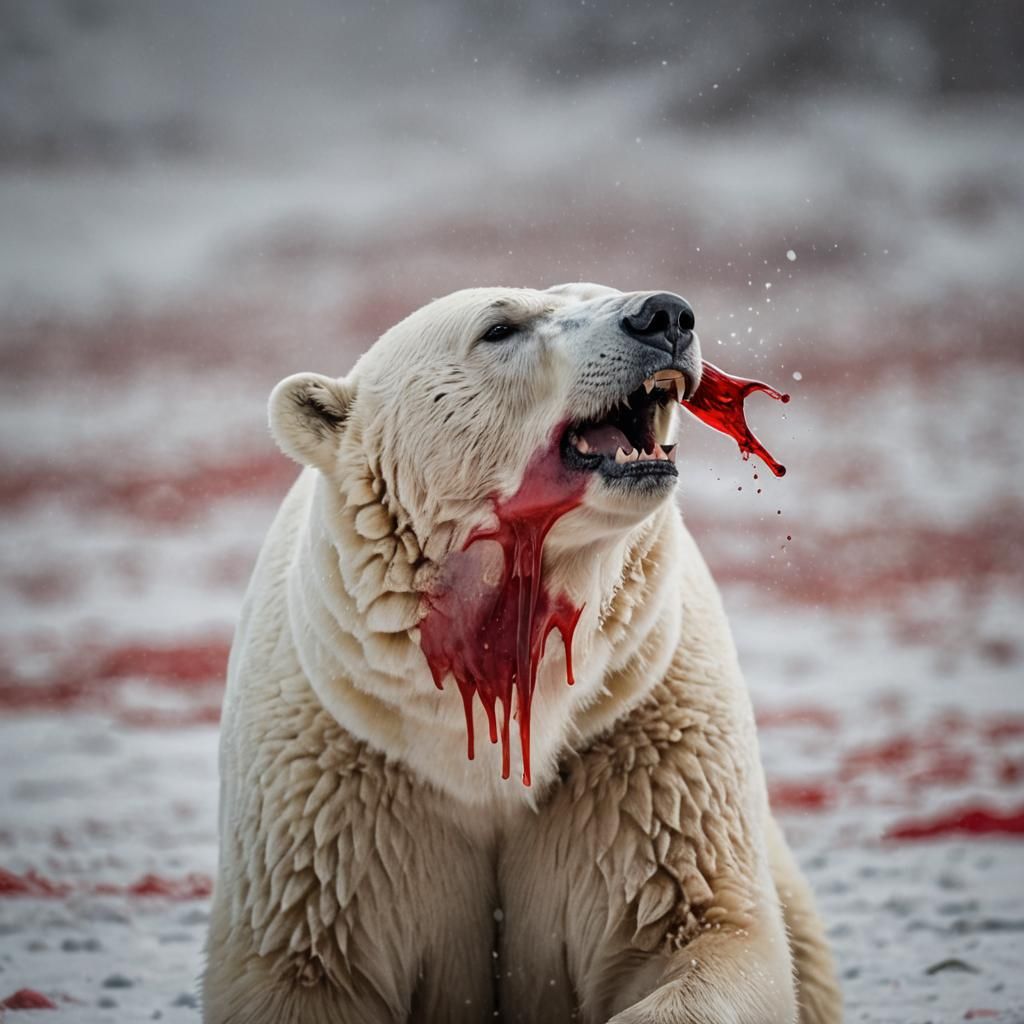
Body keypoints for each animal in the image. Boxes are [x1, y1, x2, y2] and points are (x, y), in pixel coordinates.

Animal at [202, 283, 841, 1024]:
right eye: (500, 328)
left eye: (601, 291)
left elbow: (703, 927)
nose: (664, 315)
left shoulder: (639, 742)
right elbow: (304, 967)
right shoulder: (335, 792)